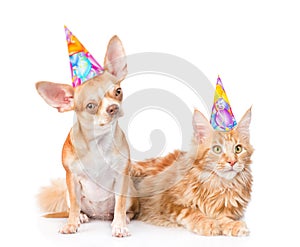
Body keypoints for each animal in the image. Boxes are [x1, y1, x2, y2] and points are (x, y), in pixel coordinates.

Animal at [35, 35, 138, 237]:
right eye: (91, 106)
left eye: (118, 92)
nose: (112, 107)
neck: (97, 142)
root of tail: (99, 215)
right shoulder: (72, 178)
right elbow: (75, 206)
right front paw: (71, 224)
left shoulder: (122, 176)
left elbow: (120, 205)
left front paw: (119, 225)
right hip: (68, 193)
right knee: (74, 207)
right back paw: (82, 217)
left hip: (130, 189)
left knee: (124, 208)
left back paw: (123, 218)